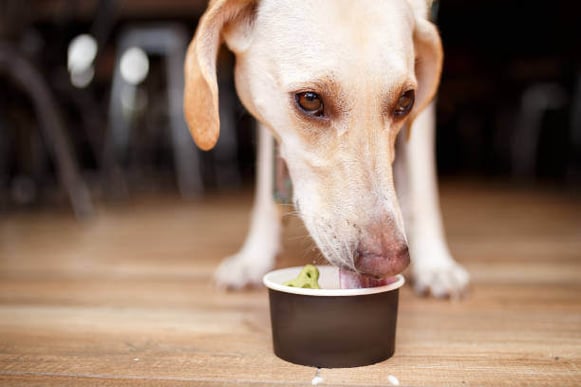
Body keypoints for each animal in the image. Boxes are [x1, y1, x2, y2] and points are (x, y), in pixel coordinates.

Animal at [184, 0, 468, 300]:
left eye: (405, 100)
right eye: (310, 100)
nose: (388, 262)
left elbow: (423, 190)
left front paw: (436, 264)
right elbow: (265, 190)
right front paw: (254, 257)